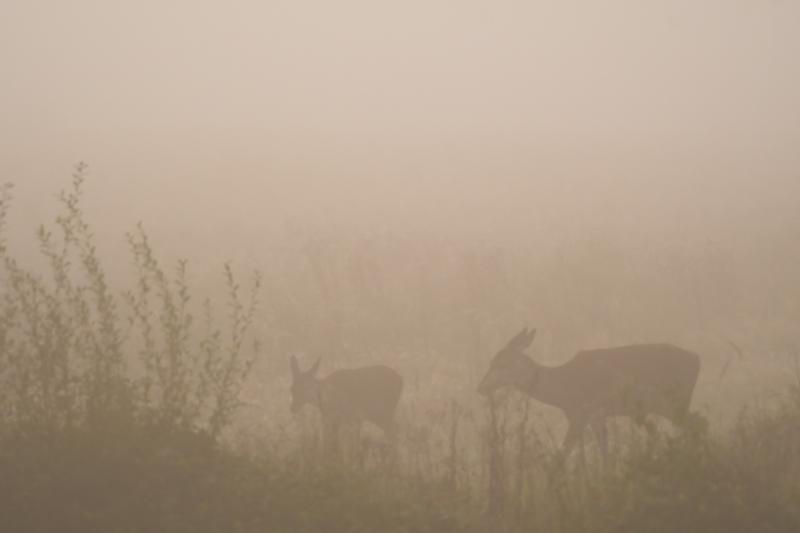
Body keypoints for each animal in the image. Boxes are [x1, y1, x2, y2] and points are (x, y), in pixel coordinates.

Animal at [478, 326, 704, 460]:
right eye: (491, 362)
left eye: (501, 364)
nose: (480, 387)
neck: (562, 389)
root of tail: (697, 359)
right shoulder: (594, 417)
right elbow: (604, 453)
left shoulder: (583, 413)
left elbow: (563, 454)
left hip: (673, 402)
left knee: (697, 423)